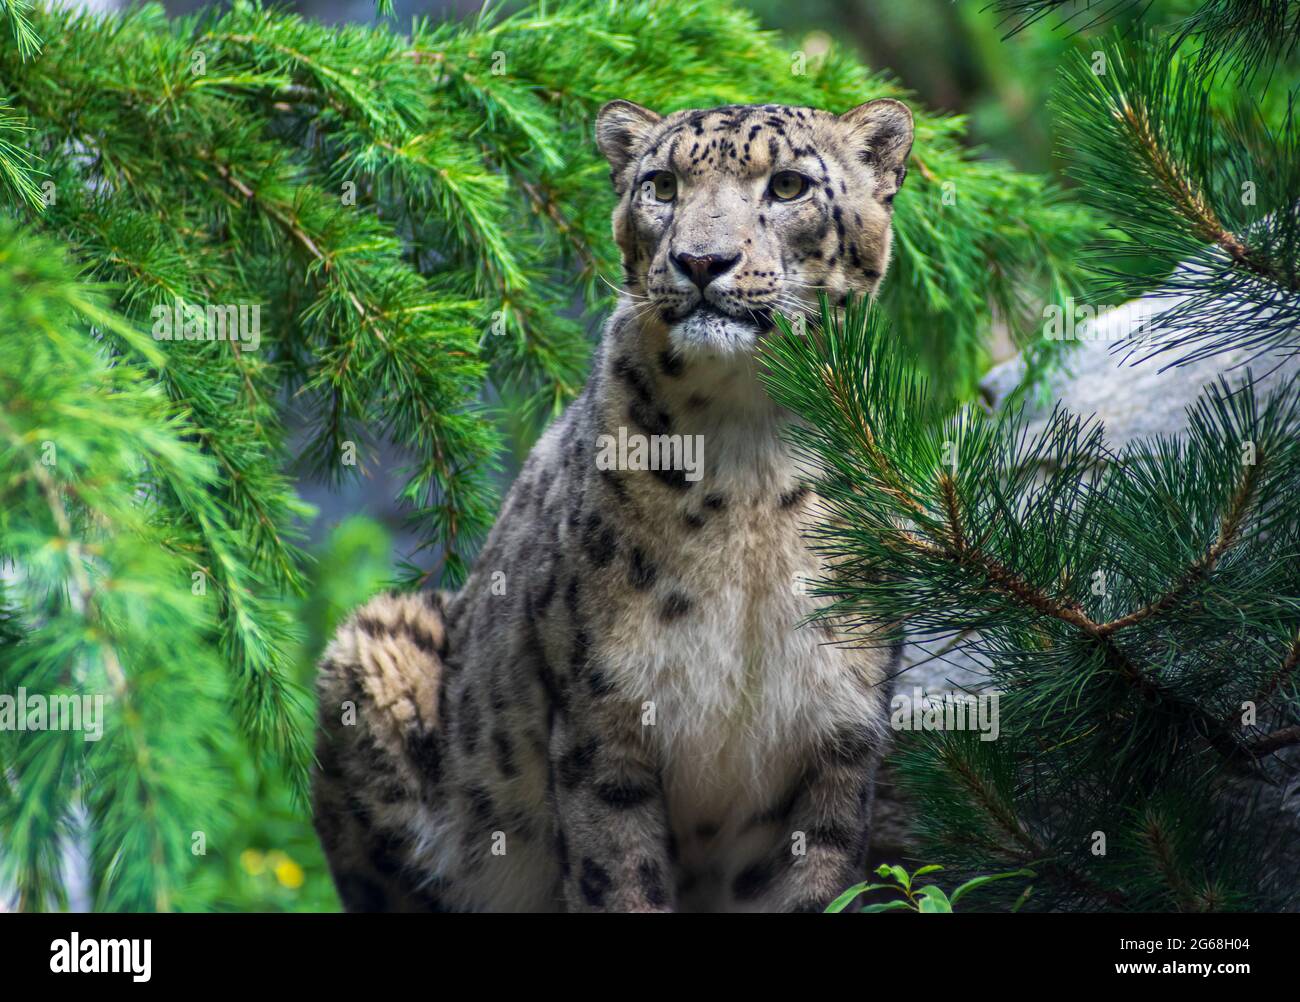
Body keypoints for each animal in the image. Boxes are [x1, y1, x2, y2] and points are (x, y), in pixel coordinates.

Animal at [311, 96, 914, 912]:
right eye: (661, 185)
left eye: (789, 185)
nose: (701, 261)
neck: (754, 457)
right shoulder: (606, 722)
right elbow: (617, 876)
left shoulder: (837, 737)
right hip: (374, 651)